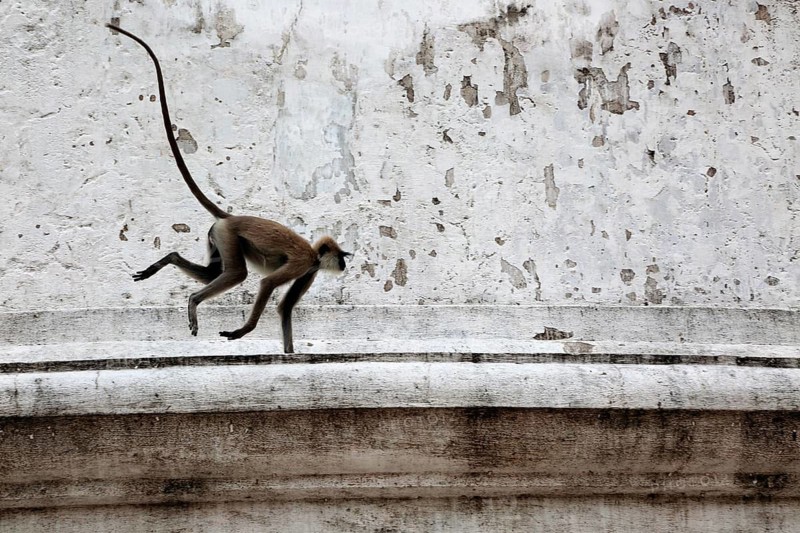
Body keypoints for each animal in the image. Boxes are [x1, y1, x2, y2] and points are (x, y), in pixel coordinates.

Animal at [106, 23, 351, 353]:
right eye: (341, 255)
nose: (344, 264)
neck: (314, 254)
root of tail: (231, 217)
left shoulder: (309, 270)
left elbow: (285, 308)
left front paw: (289, 352)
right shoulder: (305, 262)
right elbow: (266, 284)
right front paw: (243, 331)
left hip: (218, 236)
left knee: (214, 271)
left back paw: (170, 260)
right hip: (229, 235)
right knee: (237, 273)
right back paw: (194, 301)